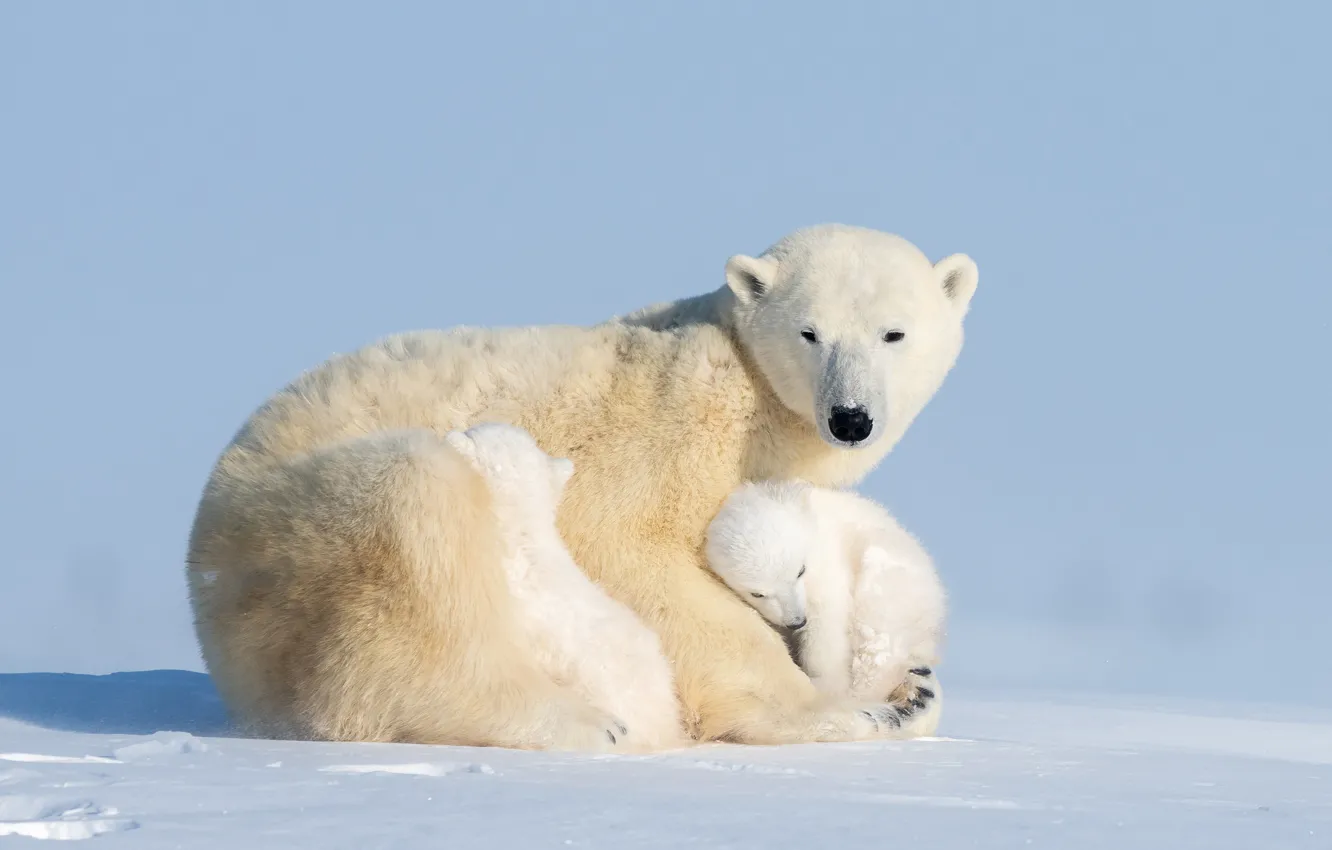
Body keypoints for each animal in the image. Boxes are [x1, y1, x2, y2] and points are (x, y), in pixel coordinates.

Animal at [185, 225, 980, 751]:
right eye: (811, 333)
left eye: (893, 334)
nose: (851, 418)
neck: (752, 400)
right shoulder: (667, 430)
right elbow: (634, 551)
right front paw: (848, 711)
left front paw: (910, 688)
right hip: (285, 536)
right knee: (413, 524)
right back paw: (583, 723)